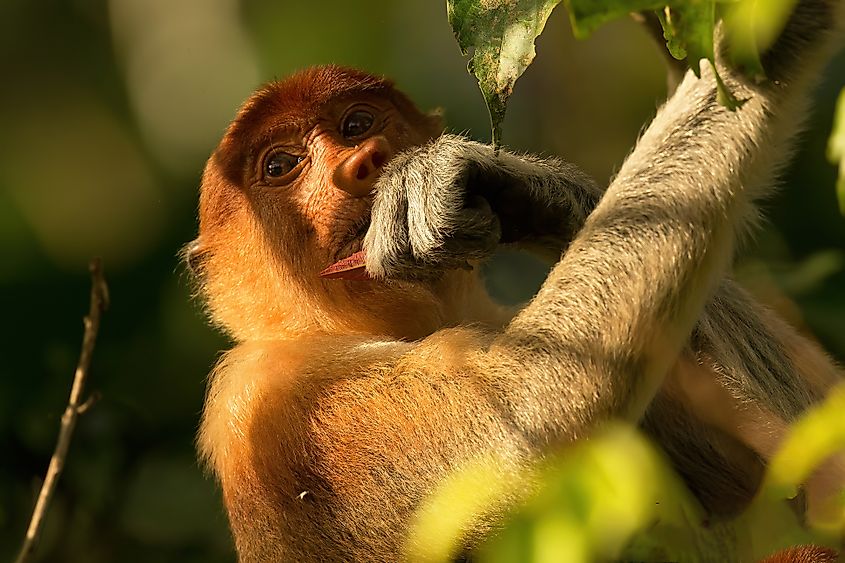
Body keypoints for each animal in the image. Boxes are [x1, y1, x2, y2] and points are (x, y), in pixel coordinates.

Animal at [187, 0, 845, 559]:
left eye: (356, 124)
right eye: (280, 165)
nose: (363, 161)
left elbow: (801, 474)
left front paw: (486, 179)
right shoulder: (273, 400)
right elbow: (522, 420)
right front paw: (763, 45)